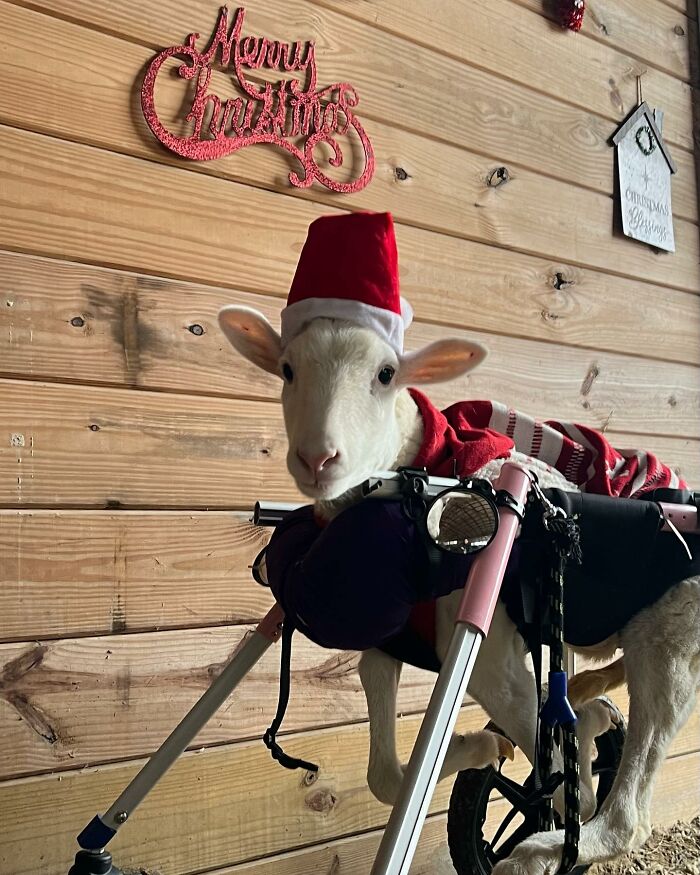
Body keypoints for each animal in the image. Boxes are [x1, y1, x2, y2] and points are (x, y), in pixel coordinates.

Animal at [218, 308, 700, 875]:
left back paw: (538, 849)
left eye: (386, 373)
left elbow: (567, 786)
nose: (318, 460)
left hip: (667, 634)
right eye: (287, 370)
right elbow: (385, 777)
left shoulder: (489, 654)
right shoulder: (387, 648)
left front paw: (566, 757)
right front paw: (486, 747)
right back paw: (586, 709)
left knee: (628, 814)